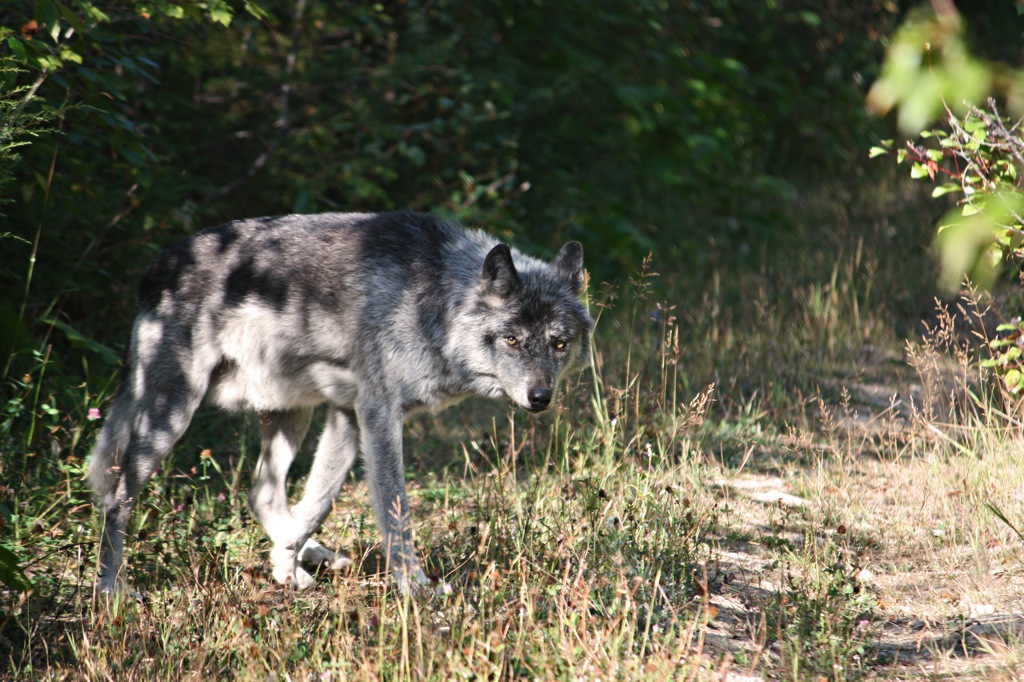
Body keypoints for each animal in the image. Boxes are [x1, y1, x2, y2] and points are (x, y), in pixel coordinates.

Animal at [90, 209, 598, 593]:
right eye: (512, 340)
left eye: (558, 344)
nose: (540, 397)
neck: (432, 302)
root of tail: (157, 267)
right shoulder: (377, 416)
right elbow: (394, 510)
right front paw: (415, 588)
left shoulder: (346, 416)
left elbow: (318, 503)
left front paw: (285, 561)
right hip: (171, 415)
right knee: (116, 499)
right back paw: (112, 590)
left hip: (291, 414)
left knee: (262, 493)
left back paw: (304, 558)